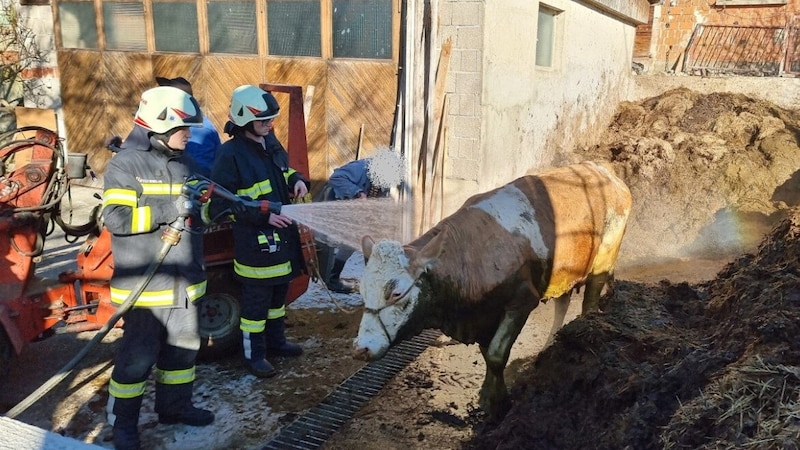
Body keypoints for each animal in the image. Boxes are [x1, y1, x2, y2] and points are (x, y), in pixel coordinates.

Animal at [354, 159, 632, 418]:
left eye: (396, 293)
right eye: (362, 292)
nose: (361, 348)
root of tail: (599, 168)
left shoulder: (522, 300)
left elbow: (498, 353)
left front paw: (496, 403)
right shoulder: (484, 315)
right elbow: (488, 354)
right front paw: (491, 395)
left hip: (604, 257)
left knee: (590, 300)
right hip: (564, 272)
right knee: (562, 304)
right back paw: (549, 348)